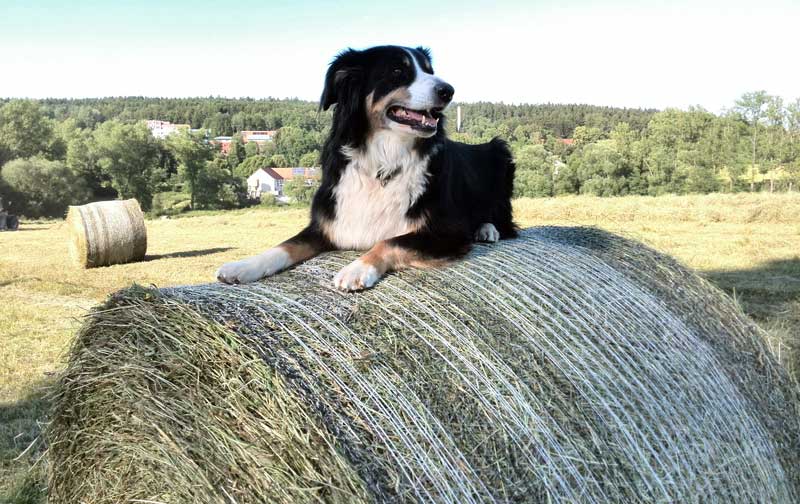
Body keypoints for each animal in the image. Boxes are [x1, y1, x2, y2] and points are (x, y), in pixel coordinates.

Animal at [217, 46, 520, 292]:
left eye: (429, 70)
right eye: (397, 71)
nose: (448, 90)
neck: (383, 163)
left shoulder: (447, 232)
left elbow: (390, 241)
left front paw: (357, 268)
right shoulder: (328, 223)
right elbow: (285, 246)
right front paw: (243, 266)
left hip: (500, 153)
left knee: (504, 219)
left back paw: (487, 230)